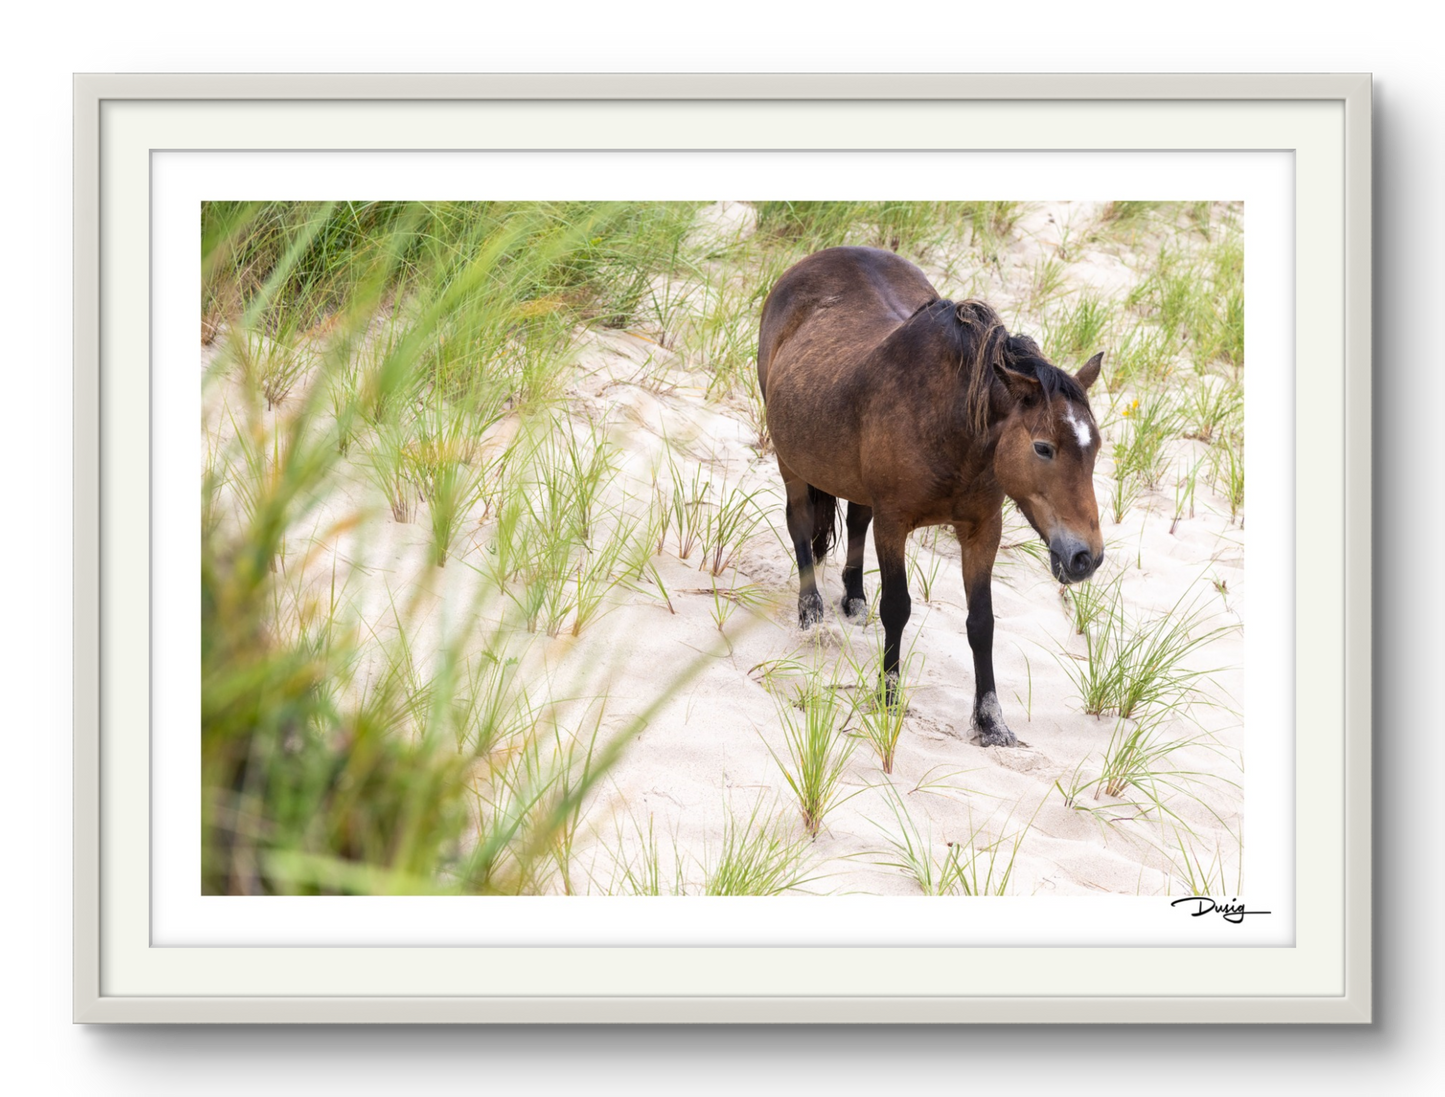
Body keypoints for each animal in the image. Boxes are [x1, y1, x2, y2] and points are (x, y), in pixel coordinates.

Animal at [757, 245, 1103, 751]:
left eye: (1095, 446)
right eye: (1044, 448)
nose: (1086, 558)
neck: (951, 426)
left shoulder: (982, 531)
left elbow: (982, 623)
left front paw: (991, 722)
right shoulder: (894, 524)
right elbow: (897, 608)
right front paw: (888, 697)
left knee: (856, 519)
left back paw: (853, 598)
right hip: (791, 461)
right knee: (800, 521)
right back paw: (811, 611)